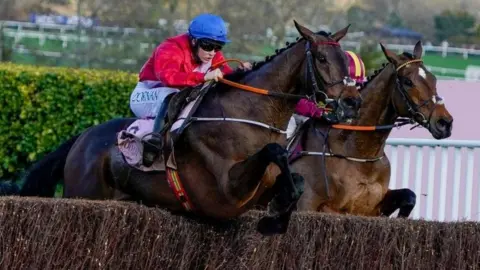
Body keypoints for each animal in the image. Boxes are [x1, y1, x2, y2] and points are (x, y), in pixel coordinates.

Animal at [13, 21, 362, 235]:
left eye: (345, 60)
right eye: (321, 58)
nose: (351, 103)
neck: (249, 114)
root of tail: (82, 138)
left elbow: (297, 180)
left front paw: (278, 216)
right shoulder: (224, 191)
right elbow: (274, 151)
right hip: (84, 193)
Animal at [256, 41, 452, 218]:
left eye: (433, 79)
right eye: (408, 81)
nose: (445, 122)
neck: (360, 153)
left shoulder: (372, 207)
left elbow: (409, 195)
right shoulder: (310, 204)